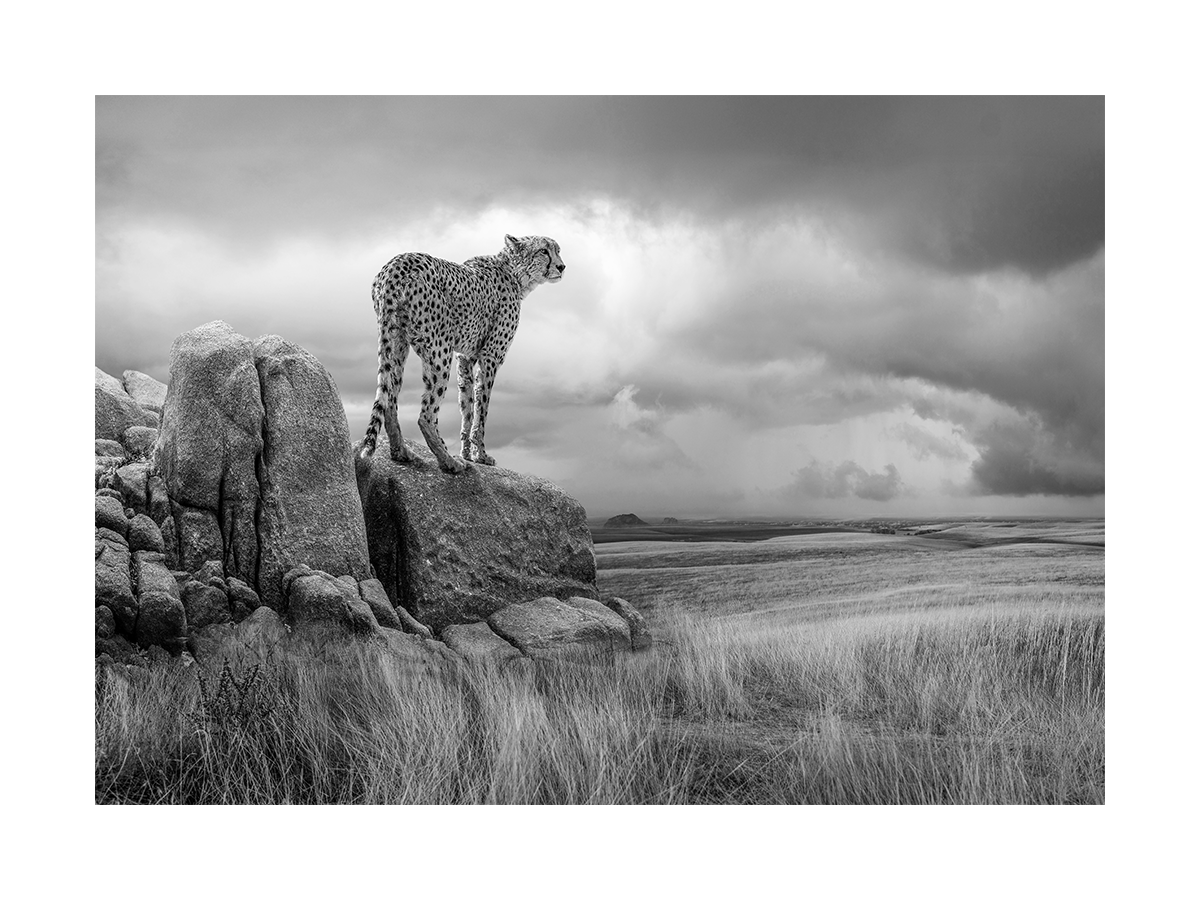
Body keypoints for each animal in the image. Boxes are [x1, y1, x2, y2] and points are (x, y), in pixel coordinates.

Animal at [357, 236, 564, 475]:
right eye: (544, 251)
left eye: (558, 250)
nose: (562, 266)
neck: (514, 273)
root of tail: (398, 262)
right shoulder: (490, 356)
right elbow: (481, 409)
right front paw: (480, 455)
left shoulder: (465, 357)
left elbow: (467, 406)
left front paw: (467, 452)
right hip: (439, 349)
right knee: (426, 415)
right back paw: (448, 461)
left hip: (396, 342)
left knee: (389, 398)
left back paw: (402, 452)